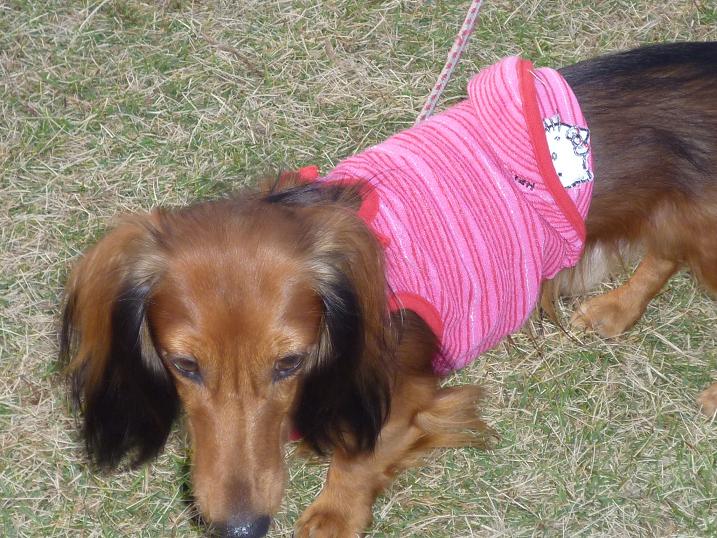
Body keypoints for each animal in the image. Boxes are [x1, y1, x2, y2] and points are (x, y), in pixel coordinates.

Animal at [60, 42, 717, 537]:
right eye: (184, 366)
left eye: (290, 363)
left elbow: (360, 455)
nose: (240, 529)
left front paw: (333, 516)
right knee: (663, 254)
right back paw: (614, 309)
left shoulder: (405, 391)